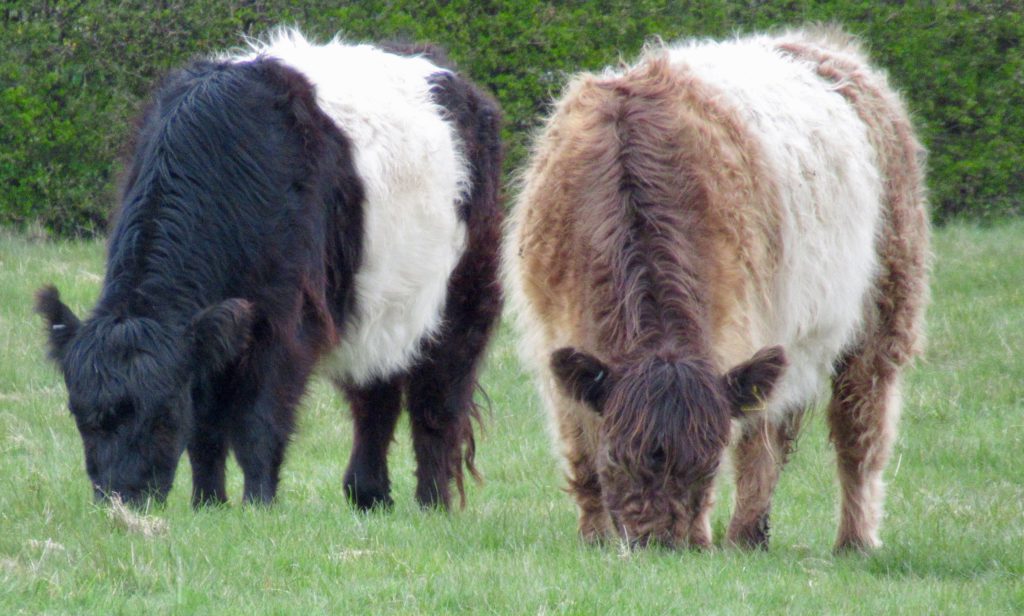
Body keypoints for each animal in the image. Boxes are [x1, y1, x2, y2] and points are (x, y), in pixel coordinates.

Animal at [37, 28, 503, 507]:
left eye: (163, 413)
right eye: (80, 414)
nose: (122, 500)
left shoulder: (284, 322)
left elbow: (259, 422)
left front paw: (258, 505)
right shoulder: (215, 335)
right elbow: (205, 430)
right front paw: (208, 503)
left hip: (465, 295)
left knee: (438, 403)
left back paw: (432, 502)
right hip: (377, 307)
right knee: (376, 399)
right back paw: (369, 496)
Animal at [507, 27, 933, 552]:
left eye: (707, 464)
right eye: (618, 456)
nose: (661, 543)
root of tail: (822, 46)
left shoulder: (741, 327)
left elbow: (749, 443)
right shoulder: (554, 333)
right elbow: (579, 448)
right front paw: (594, 538)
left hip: (884, 306)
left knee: (855, 429)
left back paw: (846, 540)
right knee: (778, 431)